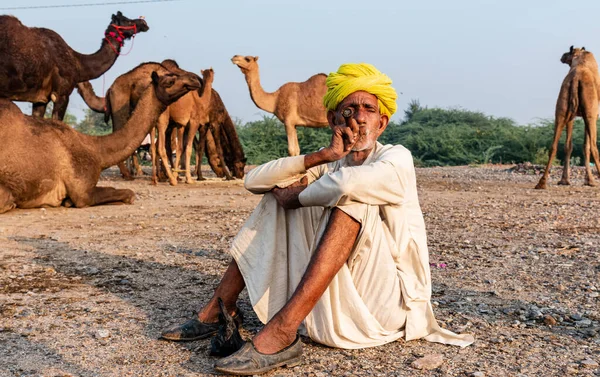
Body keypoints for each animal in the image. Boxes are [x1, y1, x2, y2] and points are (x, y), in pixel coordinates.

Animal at [536, 45, 600, 188]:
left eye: (568, 53)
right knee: (594, 145)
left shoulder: (573, 115)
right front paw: (590, 181)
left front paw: (565, 180)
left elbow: (568, 145)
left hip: (562, 105)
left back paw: (541, 183)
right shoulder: (590, 114)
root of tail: (576, 78)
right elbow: (586, 146)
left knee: (553, 146)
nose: (562, 56)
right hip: (591, 113)